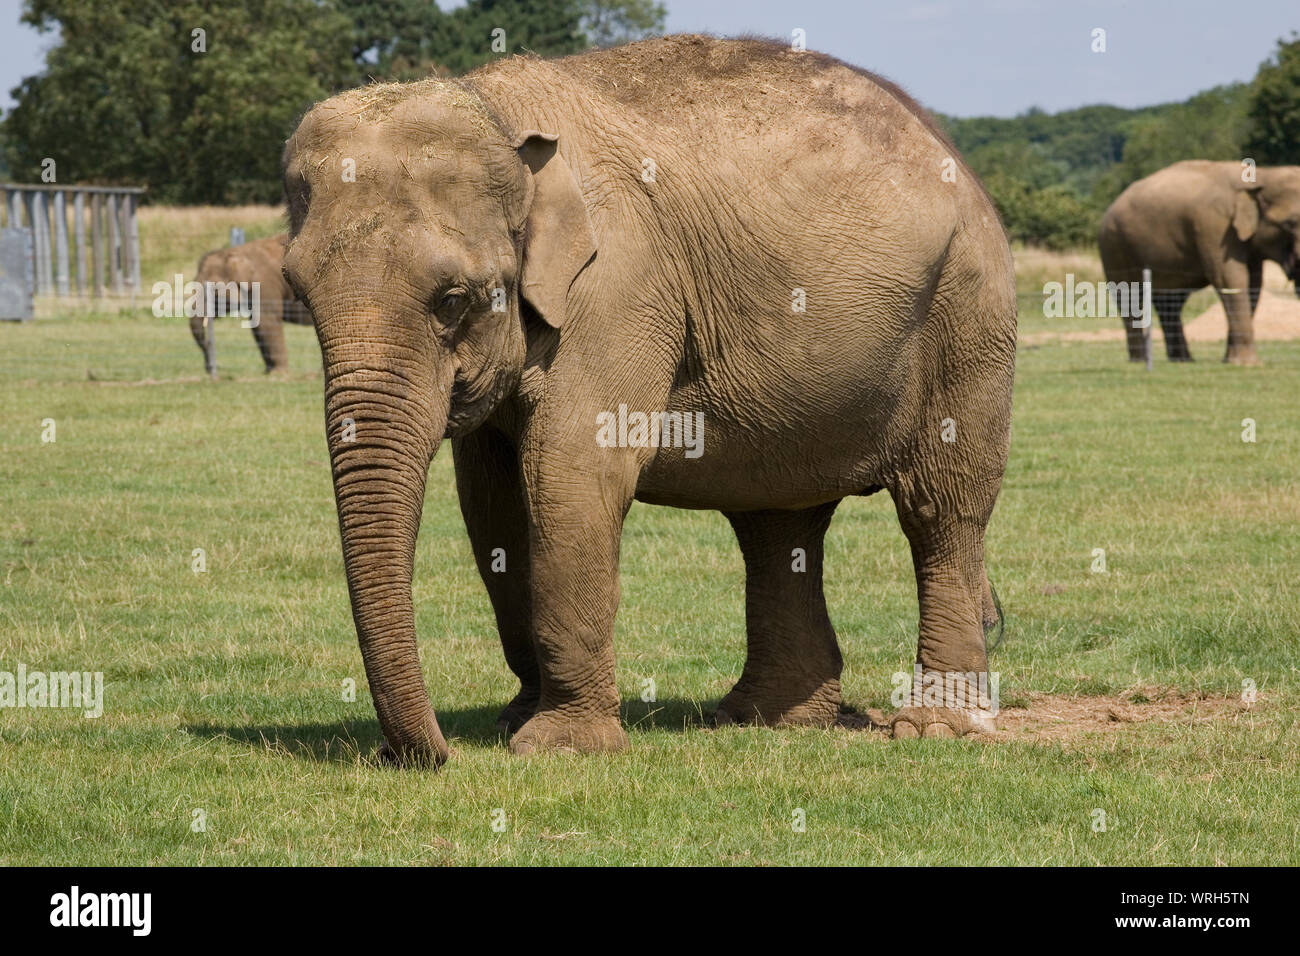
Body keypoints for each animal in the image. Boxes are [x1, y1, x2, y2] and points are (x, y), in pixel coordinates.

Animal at [189, 234, 310, 374]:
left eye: (214, 290)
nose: (210, 369)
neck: (236, 251)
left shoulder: (264, 285)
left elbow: (267, 323)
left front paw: (278, 373)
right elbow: (257, 327)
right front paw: (267, 372)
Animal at [282, 33, 1013, 770]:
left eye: (453, 300)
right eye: (298, 293)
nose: (422, 755)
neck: (496, 112)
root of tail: (945, 143)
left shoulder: (617, 285)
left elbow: (570, 476)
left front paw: (558, 747)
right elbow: (490, 501)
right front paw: (515, 719)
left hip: (967, 311)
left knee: (940, 509)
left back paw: (934, 729)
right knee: (778, 524)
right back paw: (766, 719)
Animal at [1097, 162, 1300, 364]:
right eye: (1290, 223)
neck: (1264, 174)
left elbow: (1253, 284)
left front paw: (1231, 361)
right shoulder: (1214, 227)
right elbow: (1231, 279)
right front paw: (1246, 364)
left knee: (1170, 302)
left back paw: (1182, 360)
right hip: (1115, 247)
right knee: (1129, 295)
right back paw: (1140, 361)